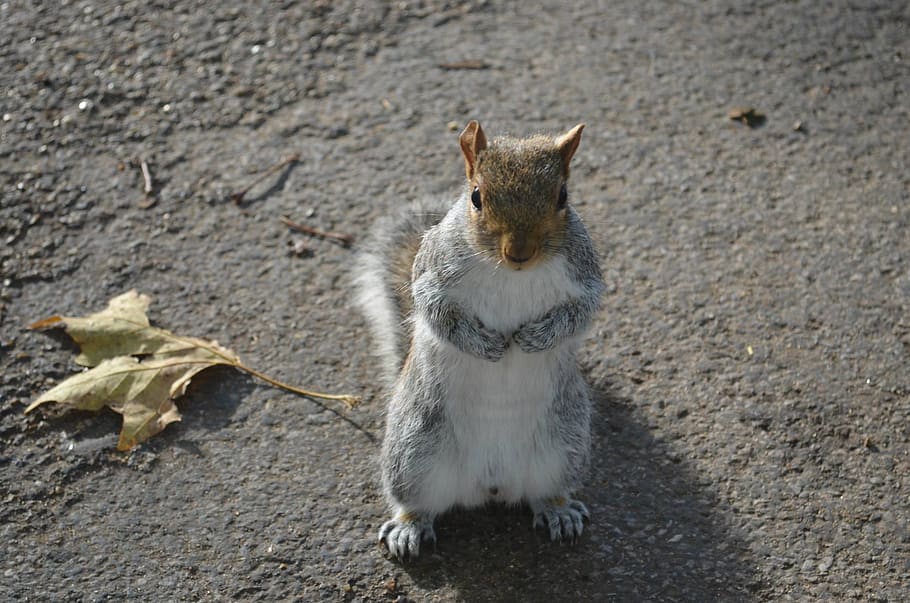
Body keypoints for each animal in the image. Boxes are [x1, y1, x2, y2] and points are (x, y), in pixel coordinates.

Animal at [354, 120, 605, 560]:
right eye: (476, 197)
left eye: (563, 196)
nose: (520, 252)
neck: (512, 273)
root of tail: (491, 485)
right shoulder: (433, 272)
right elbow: (436, 311)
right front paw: (485, 345)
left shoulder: (583, 273)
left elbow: (580, 312)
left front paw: (536, 337)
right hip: (413, 450)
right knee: (414, 499)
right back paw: (408, 527)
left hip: (565, 445)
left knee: (547, 491)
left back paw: (559, 511)